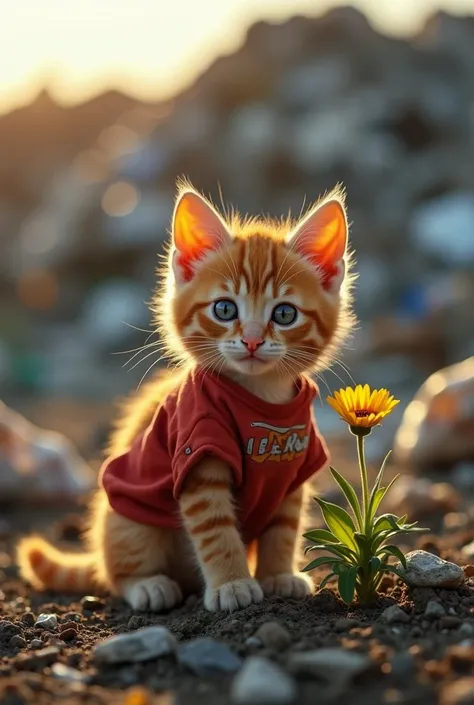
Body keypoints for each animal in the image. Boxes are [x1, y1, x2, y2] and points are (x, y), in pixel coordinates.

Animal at [17, 182, 352, 612]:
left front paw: (277, 575)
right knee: (115, 574)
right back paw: (148, 585)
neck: (260, 397)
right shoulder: (196, 452)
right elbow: (216, 530)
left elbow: (284, 527)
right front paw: (232, 584)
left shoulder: (294, 469)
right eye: (224, 309)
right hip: (127, 519)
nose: (252, 341)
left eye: (284, 314)